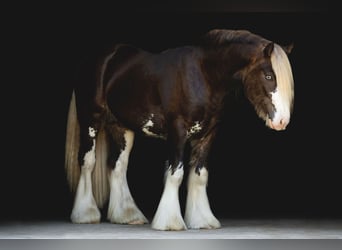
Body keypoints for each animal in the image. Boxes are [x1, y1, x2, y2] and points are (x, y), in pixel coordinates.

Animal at [64, 28, 294, 230]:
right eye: (268, 76)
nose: (282, 121)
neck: (204, 75)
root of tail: (100, 58)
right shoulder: (178, 132)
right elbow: (176, 174)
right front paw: (170, 223)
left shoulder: (208, 135)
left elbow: (200, 176)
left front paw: (203, 221)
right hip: (91, 121)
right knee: (87, 162)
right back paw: (85, 215)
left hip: (122, 128)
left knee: (117, 165)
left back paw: (128, 216)